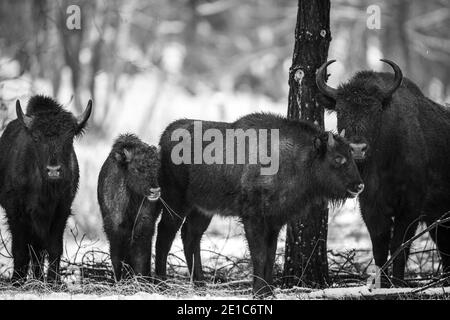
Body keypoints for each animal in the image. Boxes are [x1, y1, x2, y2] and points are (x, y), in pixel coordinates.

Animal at [0, 94, 92, 282]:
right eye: (36, 138)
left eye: (69, 137)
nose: (54, 170)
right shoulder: (16, 213)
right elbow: (20, 250)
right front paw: (17, 281)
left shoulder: (61, 211)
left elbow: (54, 248)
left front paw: (54, 281)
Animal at [97, 134, 161, 282]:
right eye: (136, 169)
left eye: (157, 168)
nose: (155, 191)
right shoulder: (115, 229)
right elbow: (117, 257)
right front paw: (120, 279)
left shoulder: (145, 226)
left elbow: (141, 255)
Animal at [153, 114, 364, 296]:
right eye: (338, 158)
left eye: (351, 155)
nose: (359, 186)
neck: (296, 160)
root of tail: (164, 137)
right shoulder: (253, 218)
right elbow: (259, 255)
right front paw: (259, 292)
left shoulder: (275, 222)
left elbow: (270, 255)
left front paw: (269, 292)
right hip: (176, 201)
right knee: (165, 235)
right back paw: (161, 284)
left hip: (202, 209)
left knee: (190, 235)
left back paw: (199, 284)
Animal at [316, 58, 450, 286]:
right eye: (341, 110)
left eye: (376, 110)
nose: (357, 148)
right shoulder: (371, 205)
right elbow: (380, 247)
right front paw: (383, 284)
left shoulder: (411, 206)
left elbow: (399, 246)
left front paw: (397, 283)